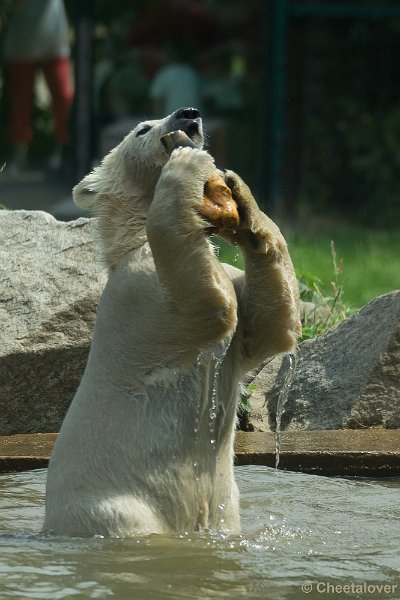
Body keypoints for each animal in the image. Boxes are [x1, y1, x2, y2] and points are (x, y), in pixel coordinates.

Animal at [43, 105, 300, 536]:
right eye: (142, 129)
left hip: (228, 509)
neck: (128, 242)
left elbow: (271, 327)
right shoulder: (136, 291)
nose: (188, 114)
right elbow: (205, 306)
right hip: (117, 508)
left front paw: (240, 195)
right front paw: (188, 163)